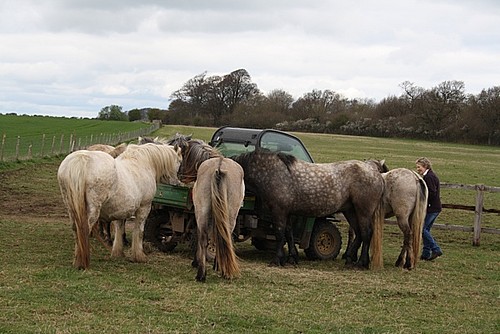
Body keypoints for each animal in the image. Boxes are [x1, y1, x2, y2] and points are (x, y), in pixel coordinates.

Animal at [57, 142, 182, 270]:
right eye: (179, 161)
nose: (177, 183)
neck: (143, 163)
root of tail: (81, 160)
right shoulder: (144, 208)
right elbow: (139, 232)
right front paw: (139, 256)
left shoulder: (121, 210)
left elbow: (119, 228)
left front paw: (118, 252)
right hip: (92, 211)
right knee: (84, 229)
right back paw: (83, 262)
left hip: (71, 209)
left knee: (76, 230)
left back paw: (77, 261)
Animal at [169, 136, 245, 282]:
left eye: (180, 155)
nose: (177, 176)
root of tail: (219, 167)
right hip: (228, 214)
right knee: (222, 237)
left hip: (203, 212)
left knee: (205, 238)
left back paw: (202, 274)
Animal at [232, 150, 384, 270]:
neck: (271, 172)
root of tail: (376, 173)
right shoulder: (287, 213)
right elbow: (289, 233)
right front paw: (292, 258)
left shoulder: (279, 211)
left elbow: (280, 234)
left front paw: (277, 259)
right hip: (351, 211)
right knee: (359, 234)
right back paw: (350, 259)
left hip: (363, 212)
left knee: (366, 233)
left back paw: (361, 263)